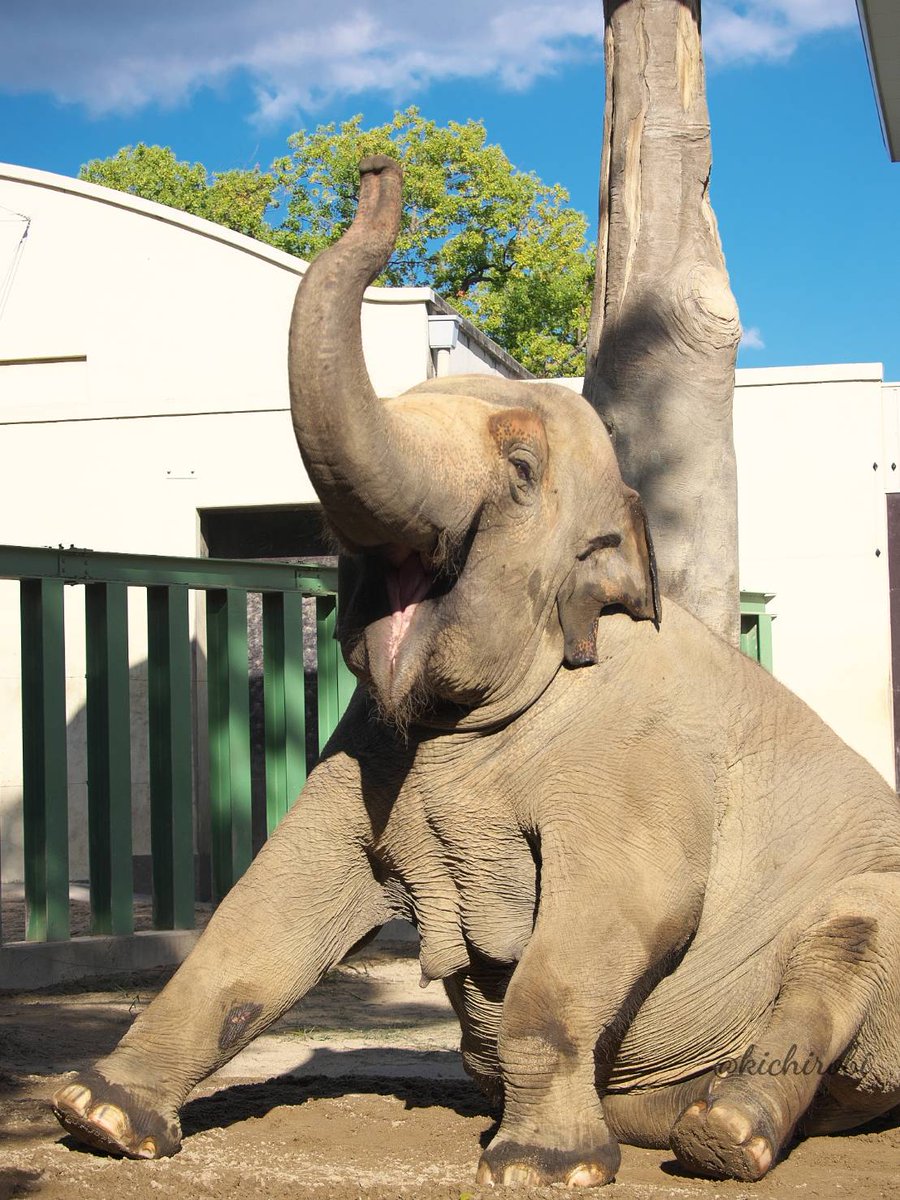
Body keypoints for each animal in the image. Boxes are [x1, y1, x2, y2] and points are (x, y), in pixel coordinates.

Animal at [53, 156, 900, 1187]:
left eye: (523, 466)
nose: (377, 168)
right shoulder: (365, 752)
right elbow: (272, 900)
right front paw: (100, 1116)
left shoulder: (642, 758)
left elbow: (621, 911)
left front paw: (540, 1165)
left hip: (868, 914)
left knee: (844, 946)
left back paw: (724, 1137)